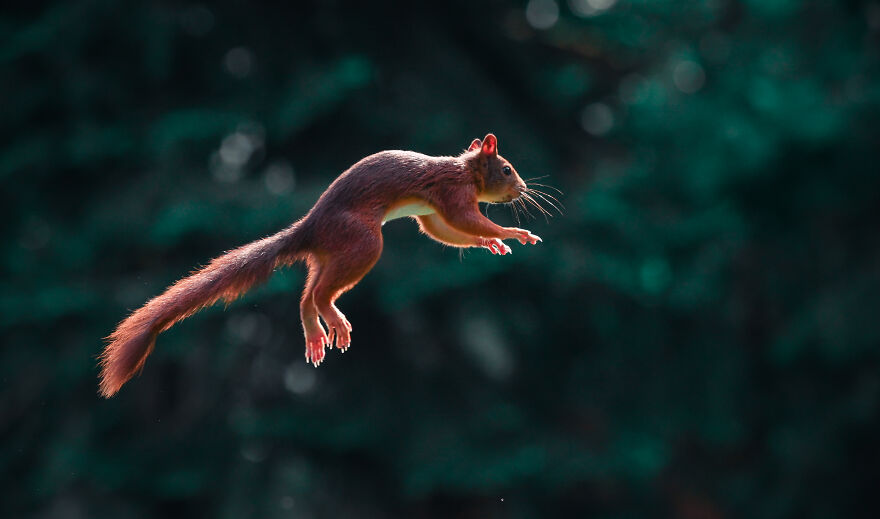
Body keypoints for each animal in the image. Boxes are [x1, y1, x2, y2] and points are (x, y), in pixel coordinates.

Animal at [98, 133, 548, 397]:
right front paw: (511, 232)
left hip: (331, 254)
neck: (464, 169)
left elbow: (445, 230)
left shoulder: (433, 212)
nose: (524, 188)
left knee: (306, 296)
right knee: (319, 293)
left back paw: (315, 332)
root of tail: (310, 228)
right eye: (507, 168)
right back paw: (333, 320)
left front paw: (492, 241)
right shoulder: (452, 195)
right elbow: (464, 221)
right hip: (362, 243)